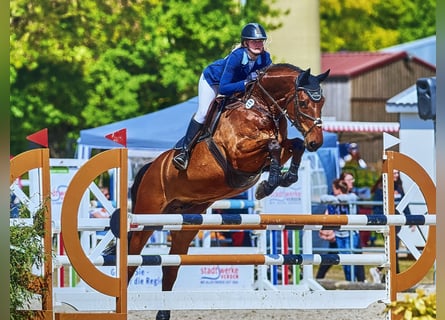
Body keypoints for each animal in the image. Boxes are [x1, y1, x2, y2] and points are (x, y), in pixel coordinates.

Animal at [126, 63, 328, 320]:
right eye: (303, 102)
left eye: (322, 101)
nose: (316, 142)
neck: (261, 107)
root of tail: (150, 167)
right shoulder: (238, 153)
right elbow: (272, 144)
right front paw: (269, 184)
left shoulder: (278, 149)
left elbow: (293, 145)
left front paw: (283, 178)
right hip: (147, 217)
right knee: (132, 259)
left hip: (186, 223)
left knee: (171, 267)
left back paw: (163, 313)